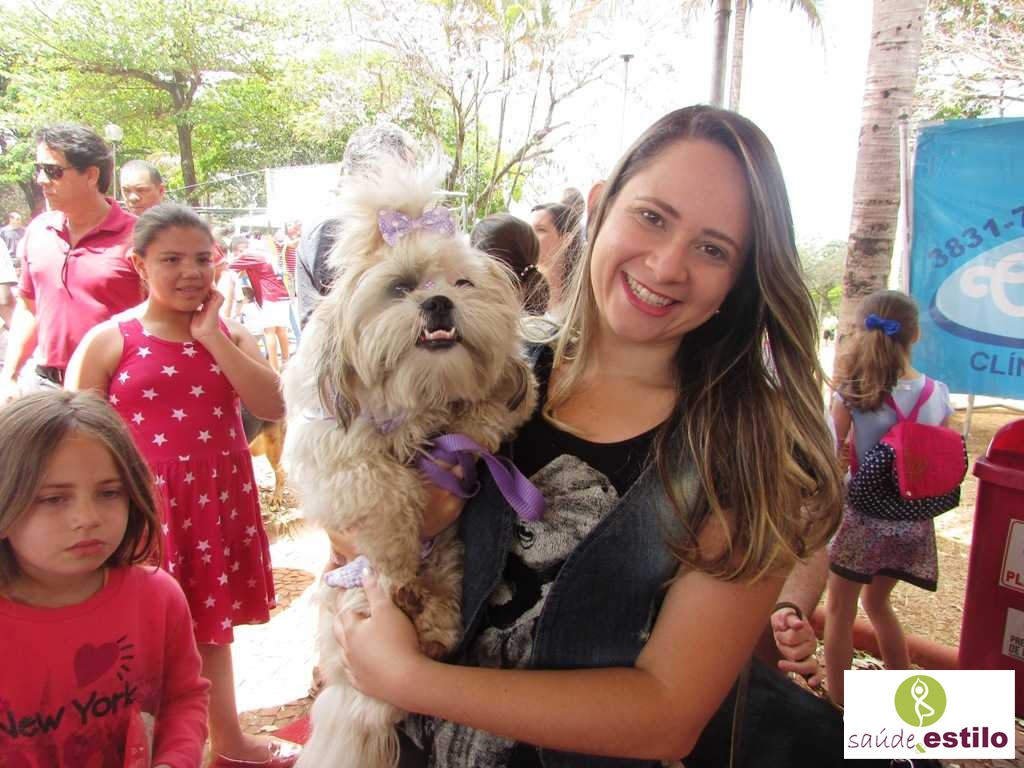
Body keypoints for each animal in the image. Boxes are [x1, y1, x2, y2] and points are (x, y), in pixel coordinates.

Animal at [283, 160, 537, 768]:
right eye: (398, 288)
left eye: (462, 283)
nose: (437, 302)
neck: (419, 401)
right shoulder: (330, 453)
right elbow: (377, 482)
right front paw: (397, 551)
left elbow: (494, 411)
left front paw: (485, 413)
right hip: (350, 588)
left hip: (447, 557)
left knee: (440, 597)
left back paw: (433, 622)